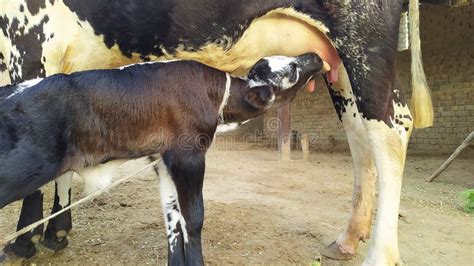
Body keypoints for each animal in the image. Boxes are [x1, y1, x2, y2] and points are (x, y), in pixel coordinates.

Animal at [0, 1, 434, 264]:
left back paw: (379, 254)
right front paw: (55, 232)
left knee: (390, 130)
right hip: (339, 64)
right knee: (361, 136)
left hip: (363, 41)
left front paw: (25, 240)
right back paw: (348, 237)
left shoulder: (28, 39)